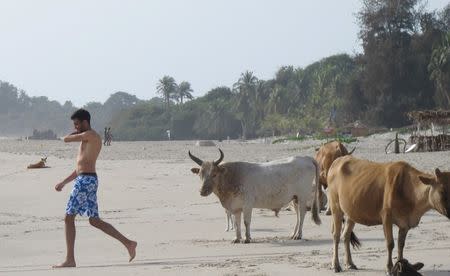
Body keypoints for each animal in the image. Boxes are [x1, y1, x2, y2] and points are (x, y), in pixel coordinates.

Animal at [188, 149, 322, 244]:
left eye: (214, 174)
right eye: (200, 174)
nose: (202, 191)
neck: (232, 177)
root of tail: (306, 158)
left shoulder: (248, 205)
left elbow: (246, 222)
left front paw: (247, 238)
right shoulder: (236, 208)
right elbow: (236, 223)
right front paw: (237, 238)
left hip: (302, 196)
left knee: (302, 214)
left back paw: (299, 235)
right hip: (295, 198)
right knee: (298, 215)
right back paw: (294, 235)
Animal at [320, 155, 450, 274]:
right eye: (442, 191)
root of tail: (337, 161)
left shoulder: (405, 223)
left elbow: (401, 244)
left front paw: (400, 265)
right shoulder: (386, 217)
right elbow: (390, 243)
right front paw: (389, 267)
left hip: (352, 212)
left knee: (346, 235)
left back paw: (350, 263)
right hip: (336, 207)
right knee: (336, 235)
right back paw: (336, 265)